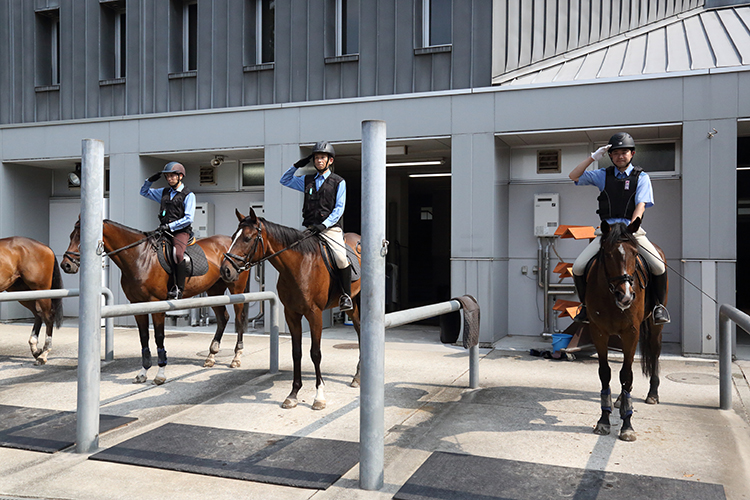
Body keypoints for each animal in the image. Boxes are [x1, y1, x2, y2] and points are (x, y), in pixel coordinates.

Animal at [0, 236, 63, 366]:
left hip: (41, 290)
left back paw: (43, 354)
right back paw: (35, 350)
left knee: (48, 317)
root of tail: (46, 247)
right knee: (38, 315)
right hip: (23, 292)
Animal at [59, 217, 253, 384]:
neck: (139, 257)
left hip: (236, 289)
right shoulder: (137, 305)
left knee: (239, 318)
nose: (66, 265)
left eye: (82, 238)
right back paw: (211, 356)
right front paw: (143, 372)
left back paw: (236, 357)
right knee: (223, 318)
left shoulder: (157, 304)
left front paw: (160, 374)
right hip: (214, 290)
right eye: (70, 236)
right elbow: (144, 337)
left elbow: (159, 337)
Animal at [219, 207, 362, 410]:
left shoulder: (314, 315)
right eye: (232, 237)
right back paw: (357, 376)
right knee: (359, 329)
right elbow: (297, 353)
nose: (225, 271)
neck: (300, 266)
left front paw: (319, 397)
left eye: (247, 238)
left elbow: (315, 353)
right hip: (351, 305)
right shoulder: (291, 314)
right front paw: (293, 394)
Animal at [584, 219, 668, 442]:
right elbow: (606, 373)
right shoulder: (599, 332)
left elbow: (627, 375)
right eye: (606, 254)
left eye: (635, 253)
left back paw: (652, 394)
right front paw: (604, 420)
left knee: (654, 352)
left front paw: (627, 425)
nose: (626, 296)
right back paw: (621, 399)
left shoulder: (631, 332)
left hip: (655, 327)